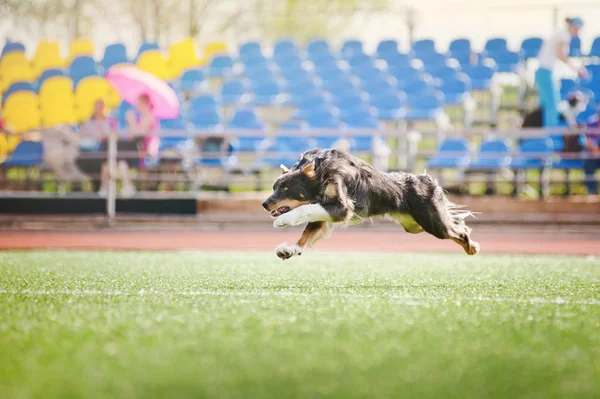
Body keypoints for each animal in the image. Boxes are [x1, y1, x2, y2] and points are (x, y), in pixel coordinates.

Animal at [262, 149, 478, 260]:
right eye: (274, 187)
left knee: (459, 231)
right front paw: (290, 250)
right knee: (457, 223)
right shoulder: (324, 211)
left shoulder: (342, 208)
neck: (321, 171)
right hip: (414, 225)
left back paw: (472, 247)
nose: (264, 204)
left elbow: (305, 210)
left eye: (286, 189)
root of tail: (426, 179)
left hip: (434, 224)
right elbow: (307, 234)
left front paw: (284, 220)